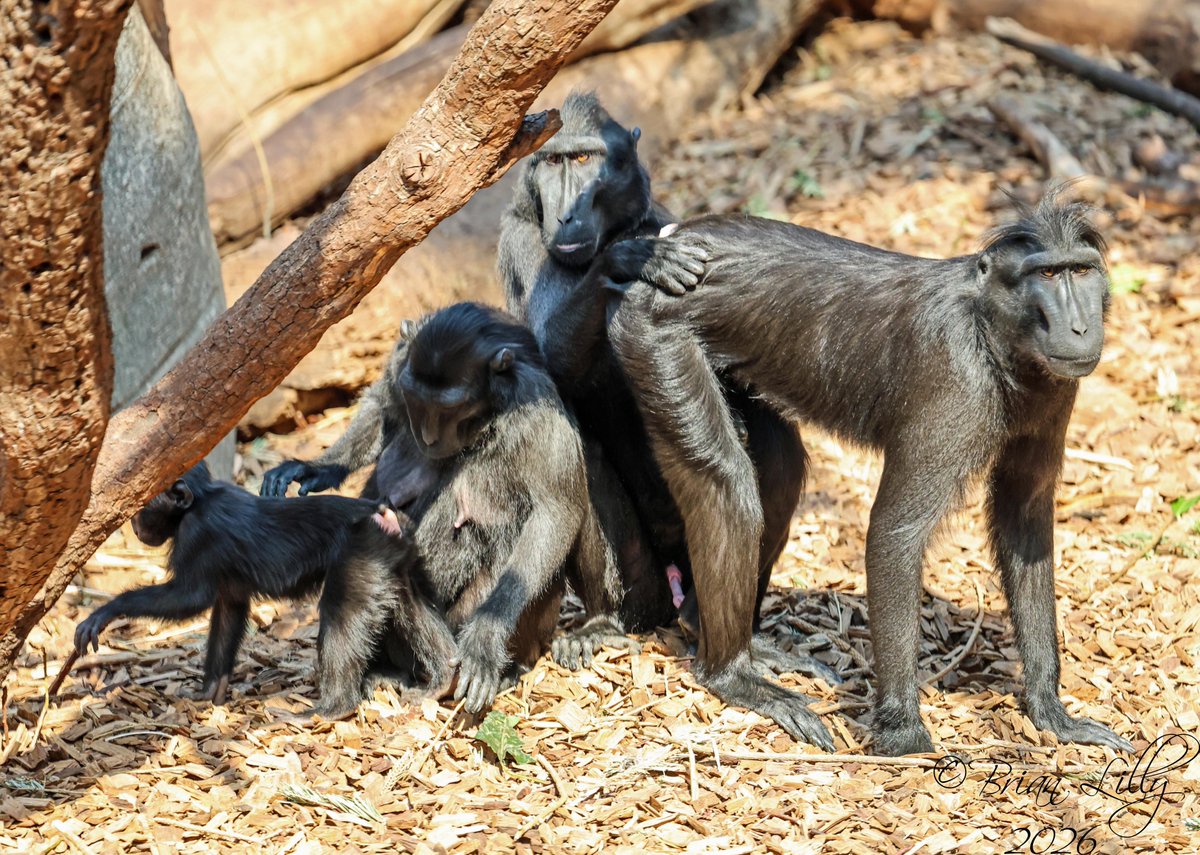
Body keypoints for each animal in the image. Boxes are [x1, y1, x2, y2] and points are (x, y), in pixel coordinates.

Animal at [74, 462, 455, 717]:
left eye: (143, 506)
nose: (134, 524)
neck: (198, 503)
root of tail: (381, 513)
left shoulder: (198, 535)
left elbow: (188, 599)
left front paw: (106, 611)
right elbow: (229, 609)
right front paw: (210, 691)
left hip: (362, 551)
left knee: (342, 612)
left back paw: (333, 708)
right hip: (392, 551)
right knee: (407, 600)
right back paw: (444, 677)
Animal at [499, 91, 816, 676]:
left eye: (585, 160)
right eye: (552, 161)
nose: (567, 212)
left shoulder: (667, 219)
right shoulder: (520, 237)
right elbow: (545, 360)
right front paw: (631, 258)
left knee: (778, 446)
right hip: (642, 583)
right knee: (579, 452)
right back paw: (603, 623)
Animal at [604, 191, 1135, 755]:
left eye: (1081, 271)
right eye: (1049, 275)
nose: (1079, 328)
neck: (992, 329)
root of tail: (679, 240)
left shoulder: (1057, 390)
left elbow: (1024, 515)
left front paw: (1051, 712)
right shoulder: (956, 383)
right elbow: (895, 533)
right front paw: (904, 734)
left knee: (778, 476)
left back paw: (714, 630)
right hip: (655, 337)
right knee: (725, 482)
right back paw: (733, 675)